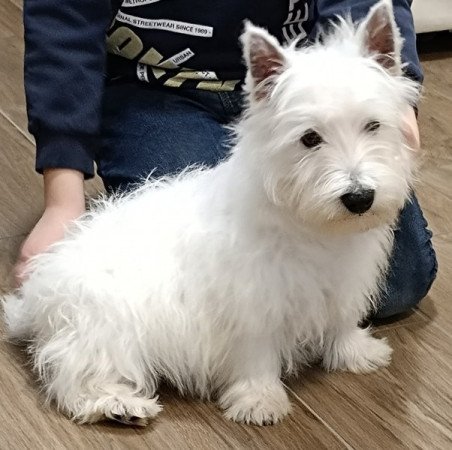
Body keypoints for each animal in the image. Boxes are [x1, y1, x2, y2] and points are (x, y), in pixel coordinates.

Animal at [3, 0, 420, 428]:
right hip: (107, 325)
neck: (306, 224)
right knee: (73, 375)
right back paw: (119, 405)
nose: (360, 197)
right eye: (309, 138)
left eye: (373, 125)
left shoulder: (341, 282)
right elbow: (257, 351)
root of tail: (36, 295)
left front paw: (356, 352)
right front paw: (259, 399)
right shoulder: (252, 302)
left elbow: (341, 318)